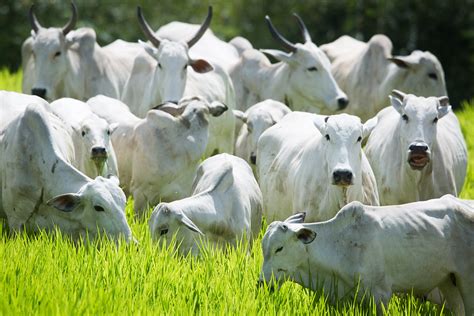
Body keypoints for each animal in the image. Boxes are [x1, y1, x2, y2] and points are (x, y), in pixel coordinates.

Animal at [260, 194, 474, 314]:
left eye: (279, 248)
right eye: (264, 249)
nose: (261, 282)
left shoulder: (380, 296)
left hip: (467, 282)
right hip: (448, 281)